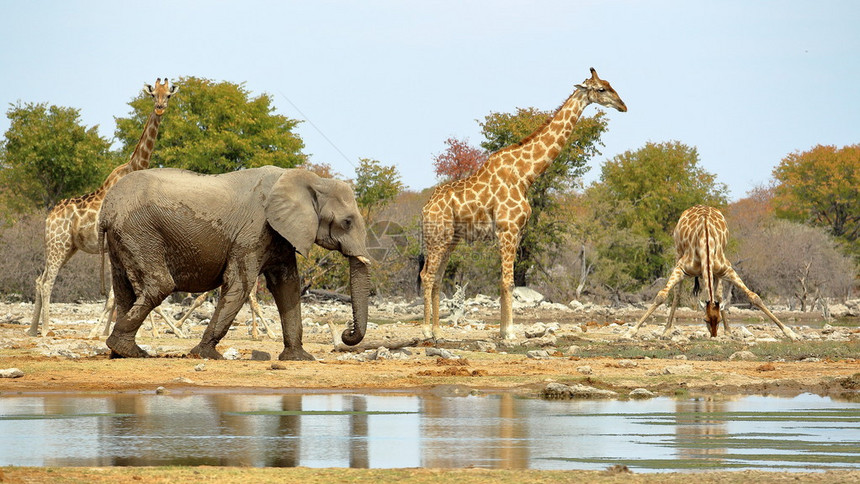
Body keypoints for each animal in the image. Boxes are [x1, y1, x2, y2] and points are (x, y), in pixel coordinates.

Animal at [27, 78, 178, 336]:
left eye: (168, 94)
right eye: (152, 95)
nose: (159, 108)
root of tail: (49, 217)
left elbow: (118, 295)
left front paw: (107, 331)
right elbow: (114, 296)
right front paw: (100, 332)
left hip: (65, 247)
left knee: (39, 280)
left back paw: (32, 329)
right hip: (58, 244)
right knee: (47, 282)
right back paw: (46, 329)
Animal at [98, 166, 370, 360]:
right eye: (347, 222)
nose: (347, 332)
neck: (311, 180)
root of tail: (106, 209)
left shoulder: (279, 234)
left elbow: (287, 287)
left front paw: (299, 358)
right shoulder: (254, 230)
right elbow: (240, 284)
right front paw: (205, 355)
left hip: (124, 238)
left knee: (124, 290)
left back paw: (121, 353)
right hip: (140, 232)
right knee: (159, 285)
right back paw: (127, 350)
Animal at [422, 68, 628, 340]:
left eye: (610, 84)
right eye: (601, 89)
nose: (623, 105)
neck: (525, 174)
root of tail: (424, 209)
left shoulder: (517, 231)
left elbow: (506, 282)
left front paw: (503, 330)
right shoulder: (507, 229)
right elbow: (508, 281)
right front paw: (509, 332)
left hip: (450, 239)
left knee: (436, 278)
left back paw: (437, 332)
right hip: (438, 236)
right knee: (427, 276)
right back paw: (426, 330)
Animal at [624, 204, 800, 340]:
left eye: (718, 320)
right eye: (705, 320)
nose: (714, 335)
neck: (705, 242)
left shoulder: (727, 269)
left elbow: (754, 297)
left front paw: (790, 333)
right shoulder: (681, 268)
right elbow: (662, 295)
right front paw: (629, 332)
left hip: (717, 270)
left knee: (719, 294)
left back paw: (729, 332)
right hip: (678, 252)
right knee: (678, 293)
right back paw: (667, 330)